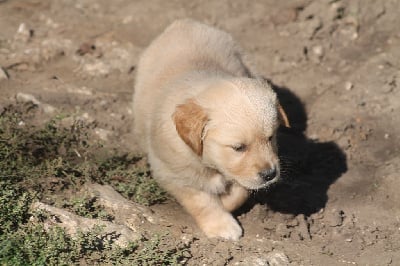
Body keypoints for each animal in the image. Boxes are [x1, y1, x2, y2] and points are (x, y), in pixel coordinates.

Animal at [133, 18, 290, 239]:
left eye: (271, 138)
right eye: (238, 147)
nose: (270, 174)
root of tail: (184, 22)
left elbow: (240, 192)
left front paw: (225, 202)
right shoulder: (175, 173)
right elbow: (203, 201)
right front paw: (222, 225)